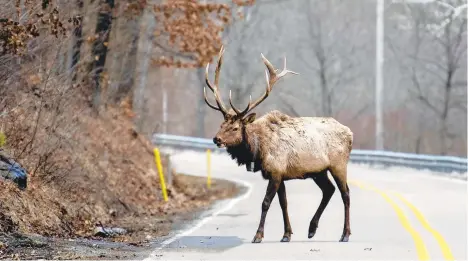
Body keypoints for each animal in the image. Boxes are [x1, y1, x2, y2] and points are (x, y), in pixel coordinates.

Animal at [203, 45, 352, 243]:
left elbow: (266, 203)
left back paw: (345, 234)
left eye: (235, 128)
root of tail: (350, 133)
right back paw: (311, 229)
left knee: (345, 193)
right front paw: (286, 234)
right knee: (329, 190)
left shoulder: (275, 171)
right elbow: (283, 203)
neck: (258, 150)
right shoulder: (279, 174)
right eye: (221, 125)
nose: (216, 139)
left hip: (338, 164)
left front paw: (258, 235)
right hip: (318, 171)